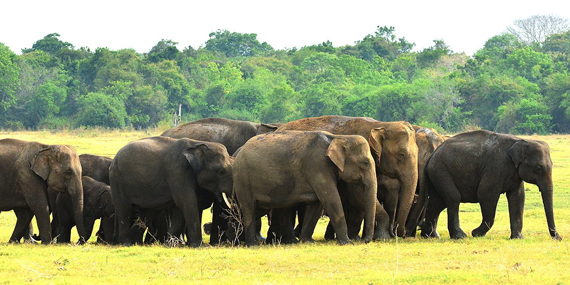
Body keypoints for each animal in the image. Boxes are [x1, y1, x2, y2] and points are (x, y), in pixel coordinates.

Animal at [231, 130, 378, 244]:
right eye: (365, 162)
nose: (364, 240)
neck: (337, 137)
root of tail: (238, 152)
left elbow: (317, 204)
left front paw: (307, 241)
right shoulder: (317, 166)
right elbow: (330, 199)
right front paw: (347, 243)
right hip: (242, 179)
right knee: (249, 208)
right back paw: (252, 244)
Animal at [420, 129, 560, 240]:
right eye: (539, 168)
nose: (558, 238)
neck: (521, 141)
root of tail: (432, 155)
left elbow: (517, 198)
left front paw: (517, 238)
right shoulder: (496, 167)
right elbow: (486, 194)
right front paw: (476, 233)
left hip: (438, 174)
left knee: (437, 203)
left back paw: (429, 236)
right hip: (441, 171)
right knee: (453, 198)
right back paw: (460, 236)